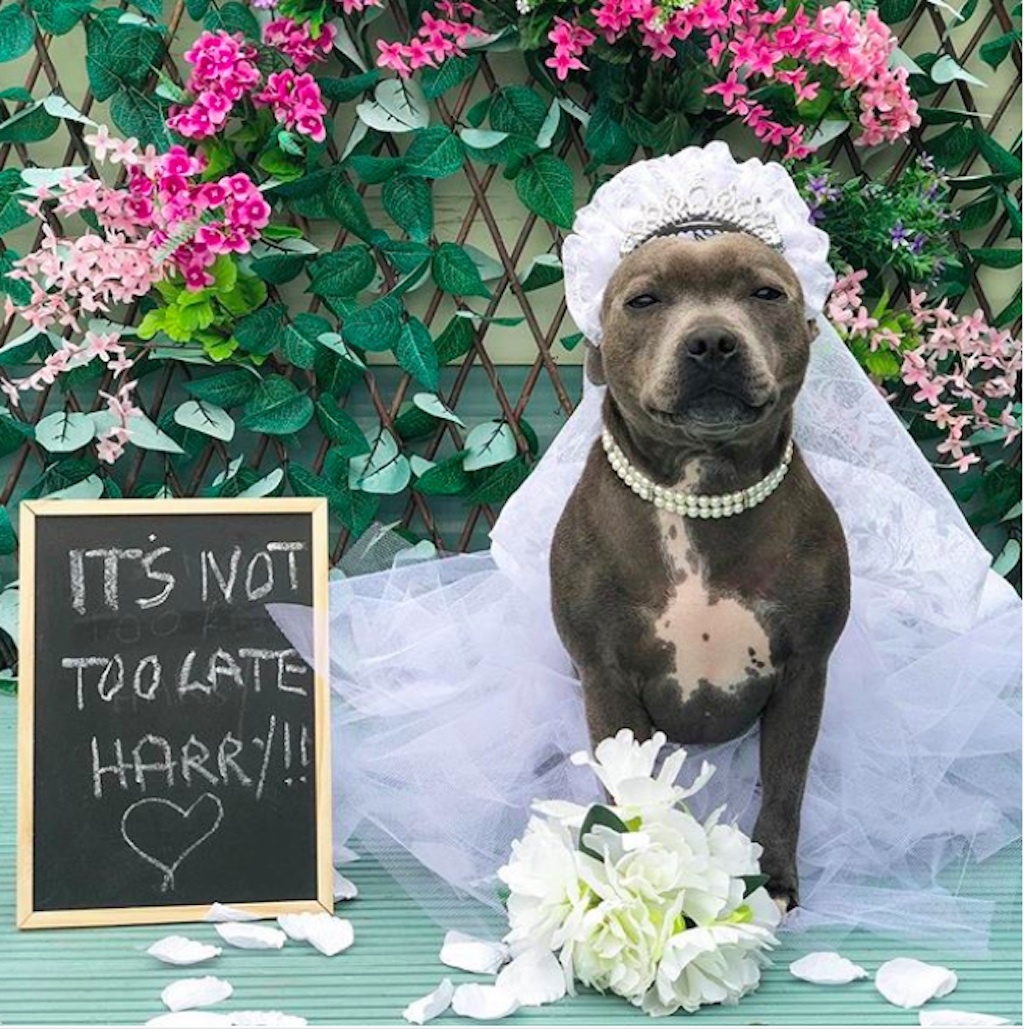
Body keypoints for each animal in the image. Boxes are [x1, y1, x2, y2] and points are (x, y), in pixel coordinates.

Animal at [551, 231, 848, 909]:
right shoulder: (606, 680)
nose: (712, 340)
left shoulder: (804, 674)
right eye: (644, 300)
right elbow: (626, 792)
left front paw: (773, 879)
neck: (701, 488)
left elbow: (785, 787)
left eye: (766, 292)